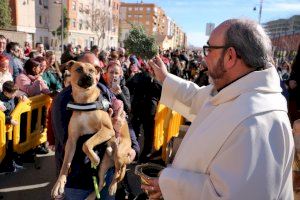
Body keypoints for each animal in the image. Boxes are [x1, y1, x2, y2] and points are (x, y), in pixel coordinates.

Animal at [50, 61, 131, 198]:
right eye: (78, 69)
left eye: (92, 70)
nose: (89, 77)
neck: (84, 101)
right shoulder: (71, 140)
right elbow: (66, 164)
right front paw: (59, 184)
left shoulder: (107, 130)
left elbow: (86, 144)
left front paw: (94, 158)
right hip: (104, 165)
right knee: (103, 182)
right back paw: (92, 196)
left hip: (119, 154)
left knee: (119, 172)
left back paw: (113, 187)